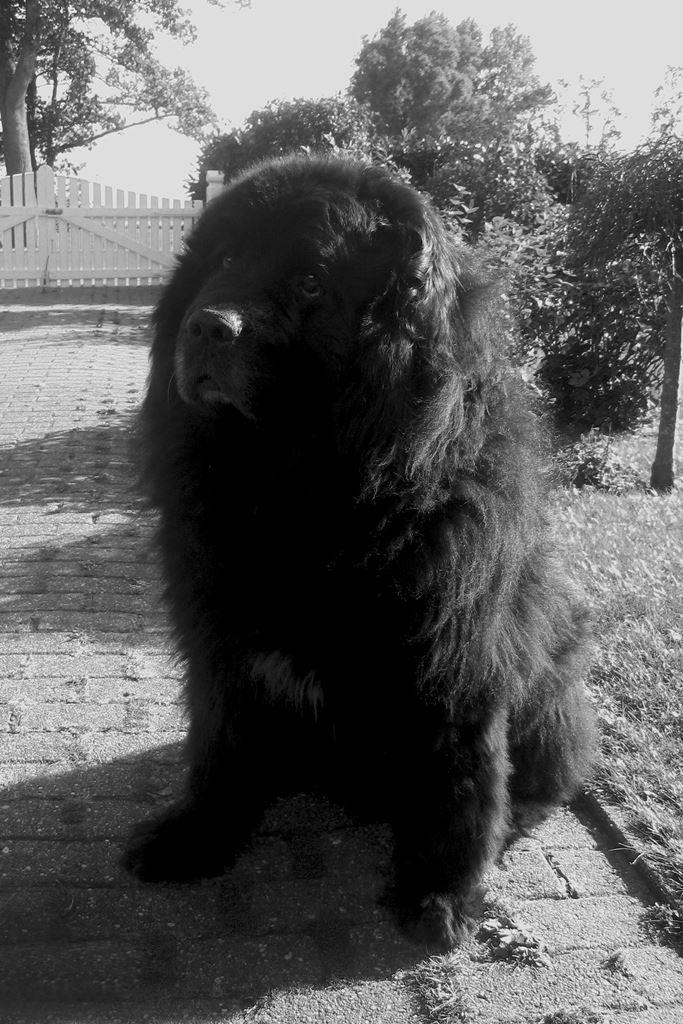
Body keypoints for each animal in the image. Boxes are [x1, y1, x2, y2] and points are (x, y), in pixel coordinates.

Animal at [123, 154, 596, 949]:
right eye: (222, 261)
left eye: (313, 283)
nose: (207, 325)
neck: (302, 488)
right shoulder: (223, 648)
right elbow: (220, 750)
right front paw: (197, 838)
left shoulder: (451, 664)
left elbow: (458, 783)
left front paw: (439, 894)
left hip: (553, 680)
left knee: (541, 782)